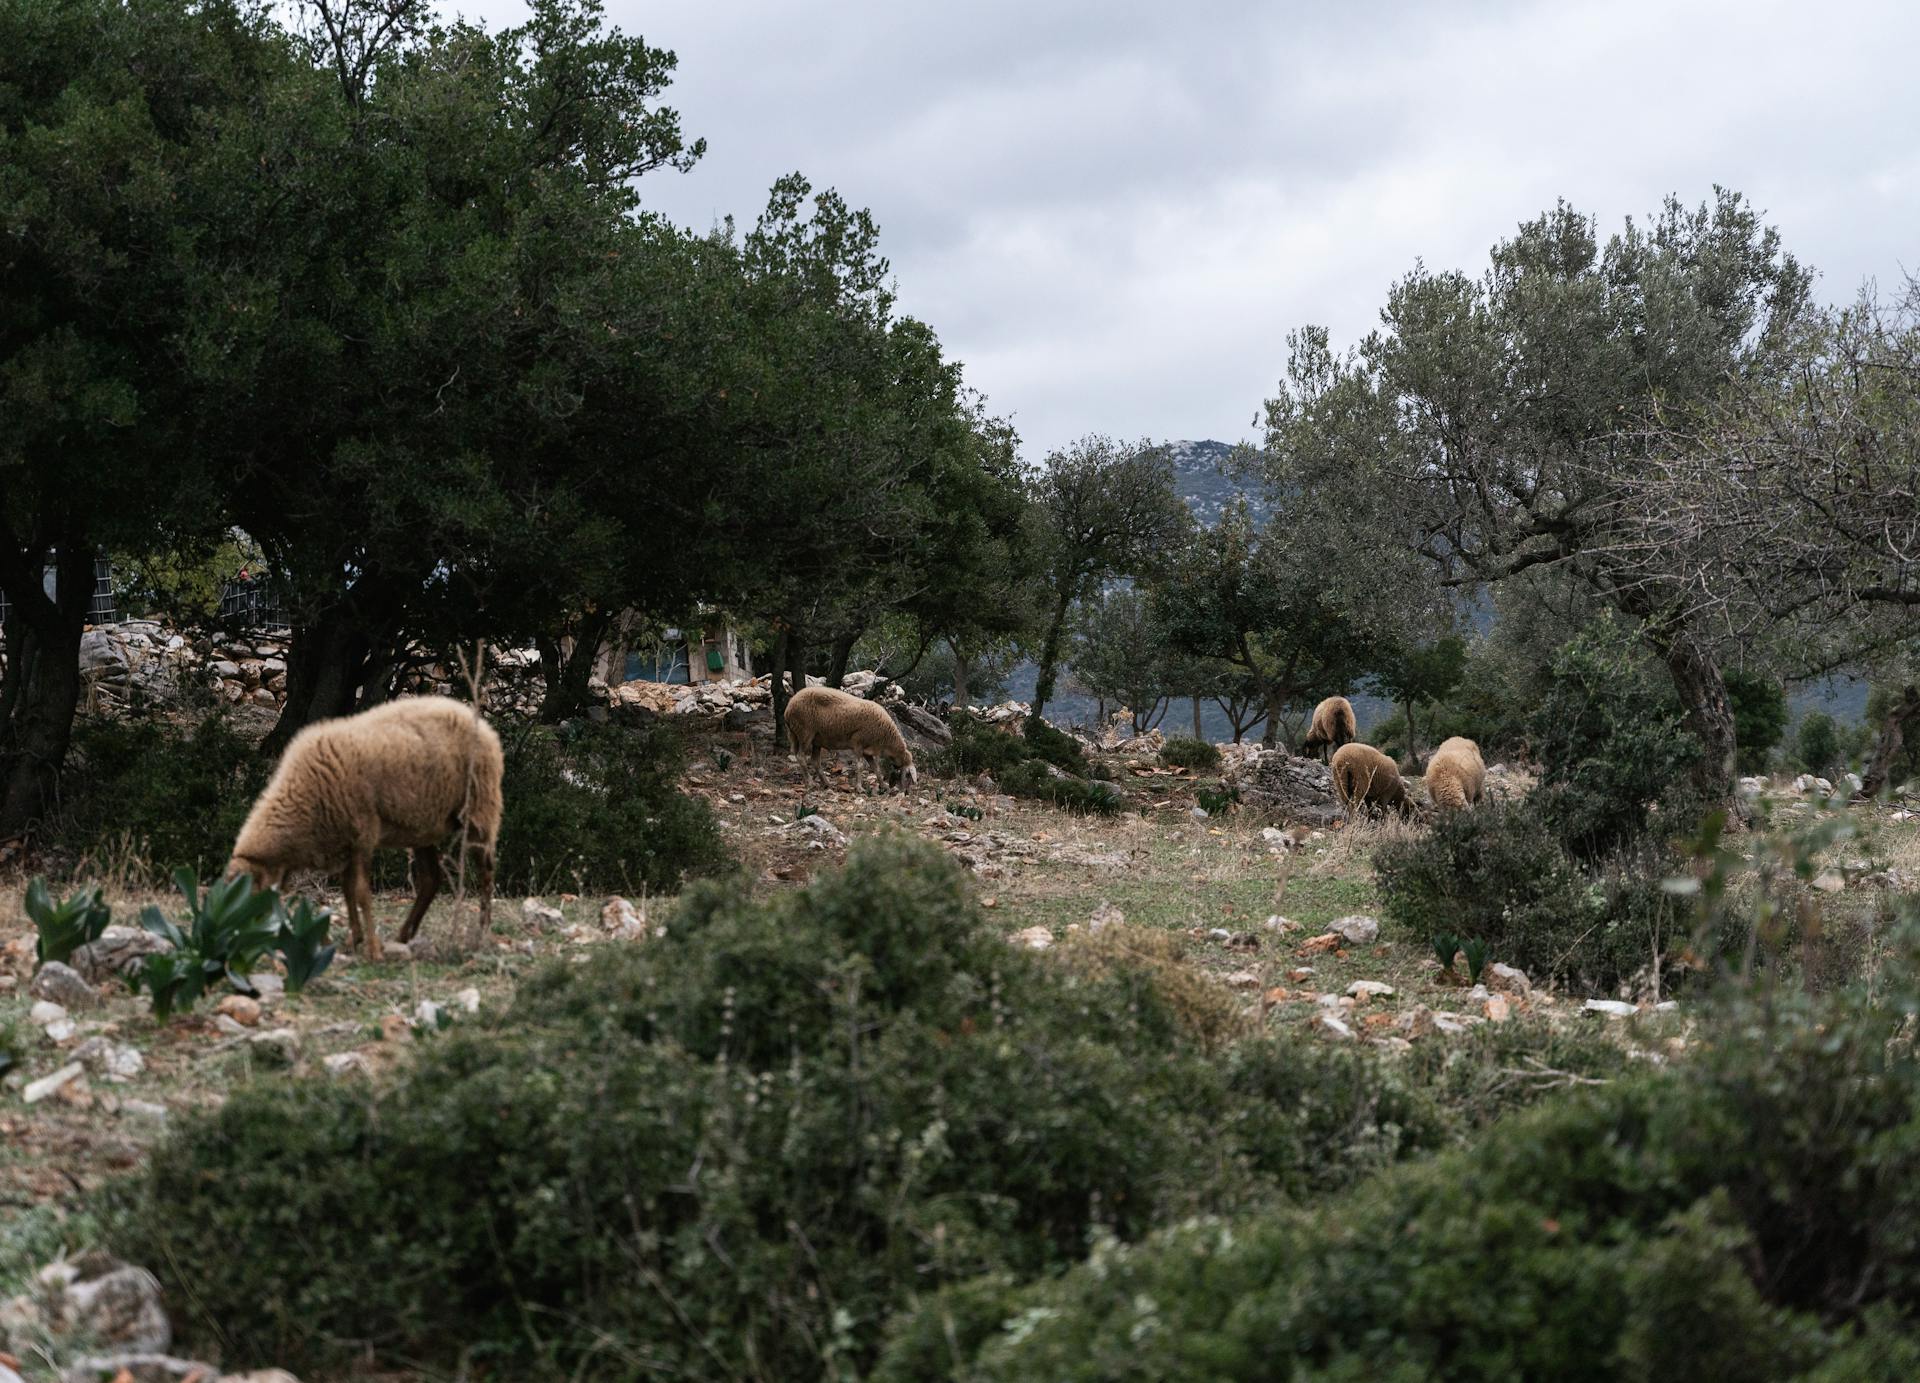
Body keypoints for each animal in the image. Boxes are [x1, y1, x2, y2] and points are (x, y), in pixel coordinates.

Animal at [224, 695, 503, 956]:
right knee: (431, 879)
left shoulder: (363, 832)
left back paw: (482, 931)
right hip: (423, 825)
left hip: (479, 807)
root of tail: (476, 719)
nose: (236, 938)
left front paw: (372, 949)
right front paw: (356, 938)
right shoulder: (349, 841)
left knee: (486, 871)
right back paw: (404, 935)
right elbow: (348, 889)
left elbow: (361, 892)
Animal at [787, 683, 921, 795]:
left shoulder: (868, 750)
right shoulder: (858, 743)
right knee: (801, 756)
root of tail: (789, 707)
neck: (886, 738)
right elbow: (860, 766)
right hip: (805, 732)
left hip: (816, 740)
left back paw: (827, 783)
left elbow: (876, 769)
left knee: (815, 761)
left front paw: (884, 786)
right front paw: (859, 788)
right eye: (908, 775)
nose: (906, 792)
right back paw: (810, 782)